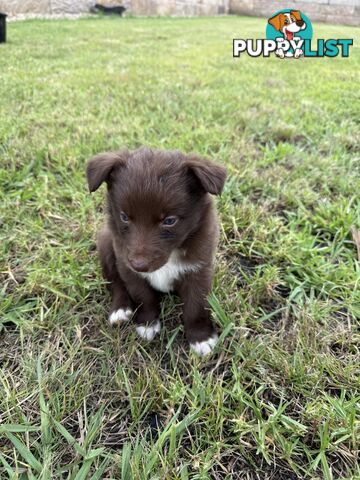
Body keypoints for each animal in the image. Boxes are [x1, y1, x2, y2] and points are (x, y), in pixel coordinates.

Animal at [87, 148, 226, 354]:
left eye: (169, 220)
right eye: (124, 217)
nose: (139, 264)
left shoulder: (199, 268)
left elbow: (196, 305)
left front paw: (201, 337)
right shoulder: (127, 264)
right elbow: (143, 296)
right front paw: (147, 323)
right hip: (106, 244)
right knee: (115, 282)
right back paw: (120, 310)